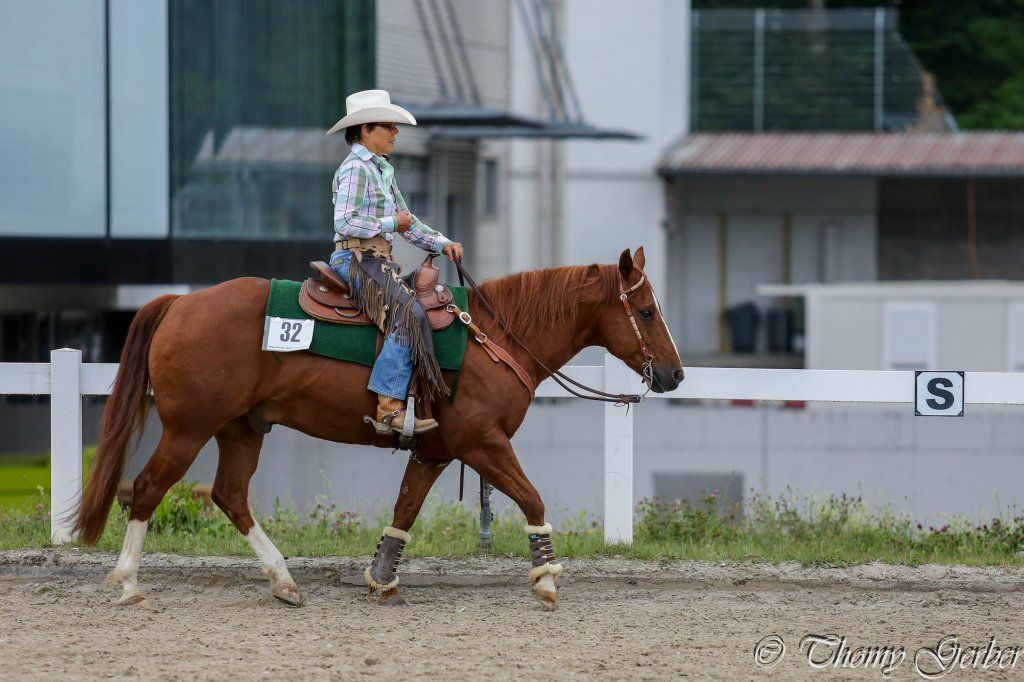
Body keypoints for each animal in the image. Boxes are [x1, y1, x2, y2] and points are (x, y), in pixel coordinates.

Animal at [72, 247, 683, 609]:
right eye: (647, 311)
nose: (675, 373)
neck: (496, 336)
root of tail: (180, 305)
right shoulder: (483, 443)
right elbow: (531, 498)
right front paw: (547, 576)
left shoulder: (435, 450)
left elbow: (404, 509)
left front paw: (382, 576)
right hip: (188, 428)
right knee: (148, 489)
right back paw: (127, 582)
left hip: (242, 428)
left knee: (230, 495)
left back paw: (283, 581)